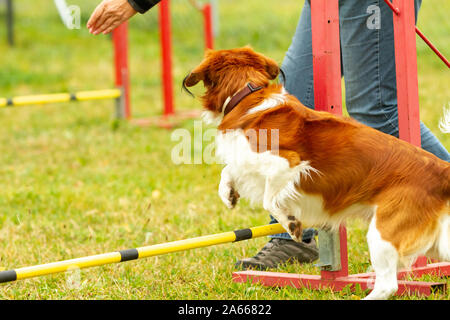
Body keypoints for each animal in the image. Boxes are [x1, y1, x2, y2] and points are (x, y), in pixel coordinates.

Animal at [183, 47, 450, 300]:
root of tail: (441, 171)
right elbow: (229, 170)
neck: (247, 96)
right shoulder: (247, 159)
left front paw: (291, 223)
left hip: (383, 233)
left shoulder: (286, 163)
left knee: (388, 285)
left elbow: (269, 199)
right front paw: (228, 194)